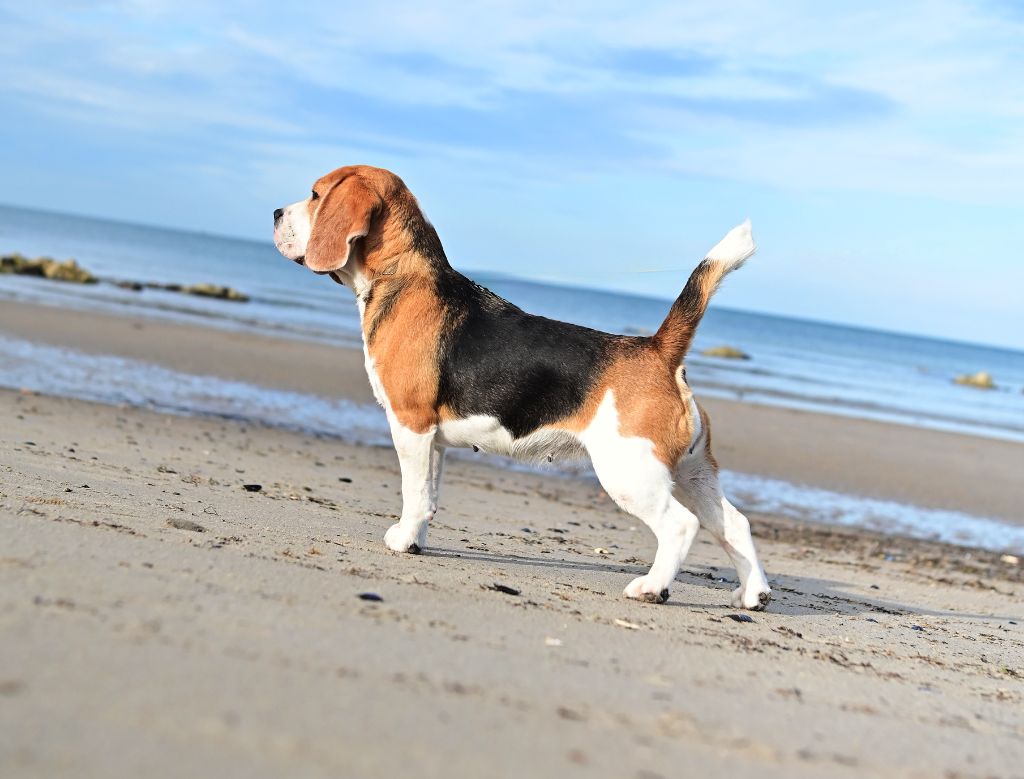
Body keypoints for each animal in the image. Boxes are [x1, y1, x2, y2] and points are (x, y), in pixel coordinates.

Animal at [276, 163, 770, 610]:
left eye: (316, 194)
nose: (277, 212)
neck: (403, 274)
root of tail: (659, 350)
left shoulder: (410, 425)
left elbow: (413, 493)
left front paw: (401, 540)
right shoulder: (432, 440)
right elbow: (430, 495)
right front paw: (416, 540)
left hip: (631, 473)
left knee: (681, 526)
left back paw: (651, 588)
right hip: (693, 472)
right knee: (735, 524)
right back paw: (753, 595)